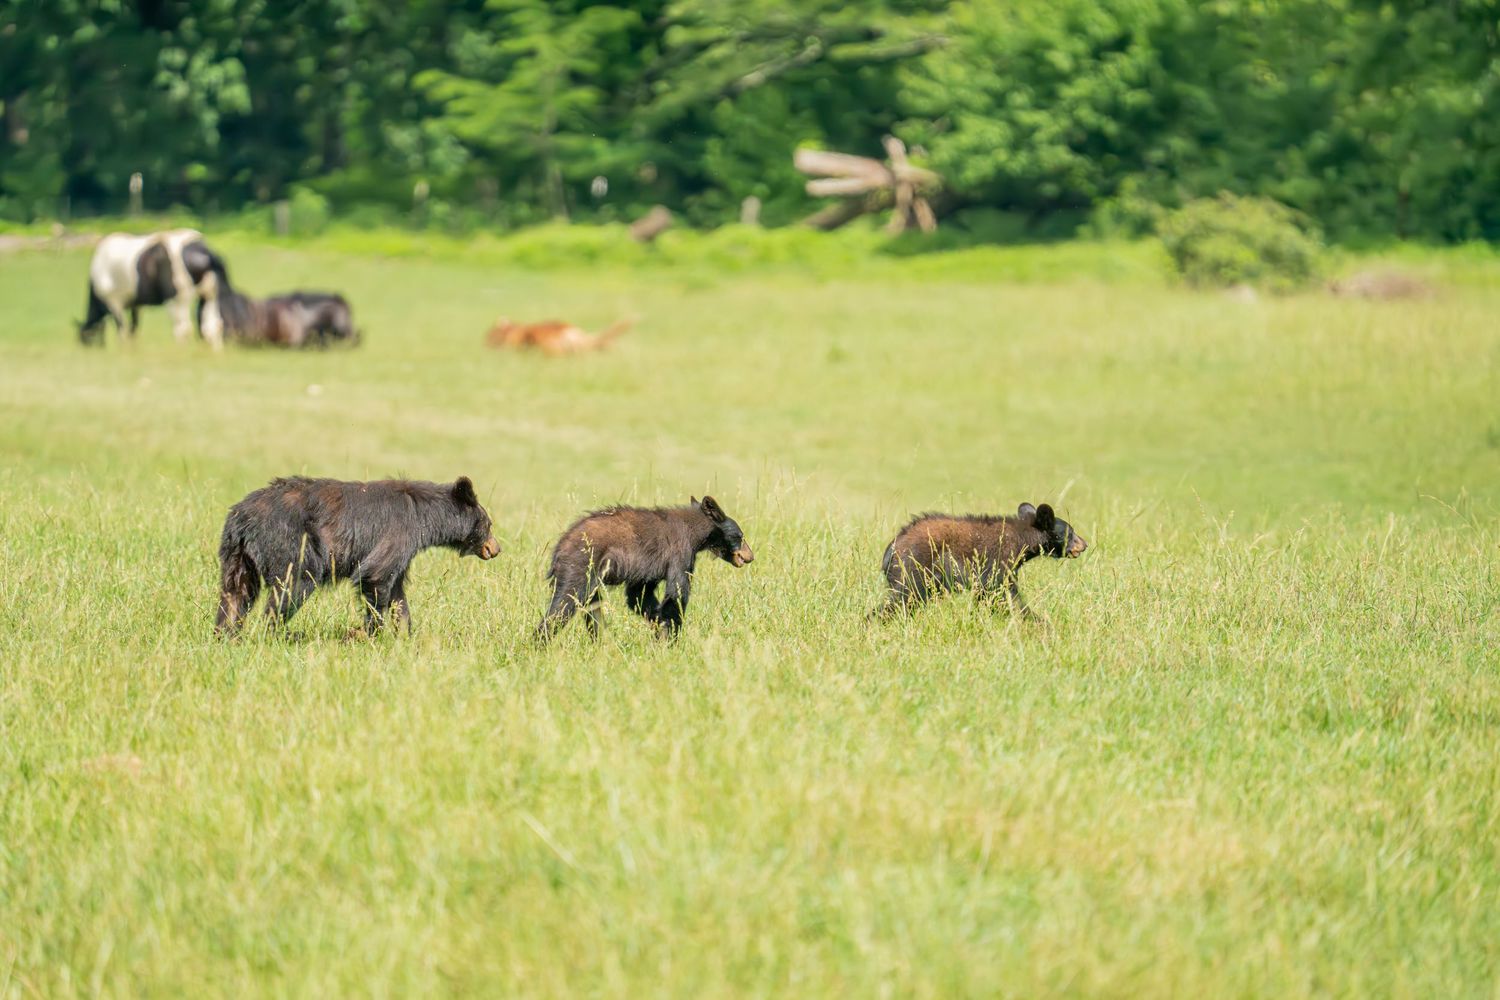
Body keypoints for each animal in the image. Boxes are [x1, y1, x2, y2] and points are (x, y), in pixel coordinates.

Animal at [80, 230, 230, 349]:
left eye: (84, 339)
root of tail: (203, 249)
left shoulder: (113, 301)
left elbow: (122, 330)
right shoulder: (135, 305)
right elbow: (134, 329)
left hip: (177, 299)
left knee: (183, 328)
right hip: (209, 294)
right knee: (213, 325)